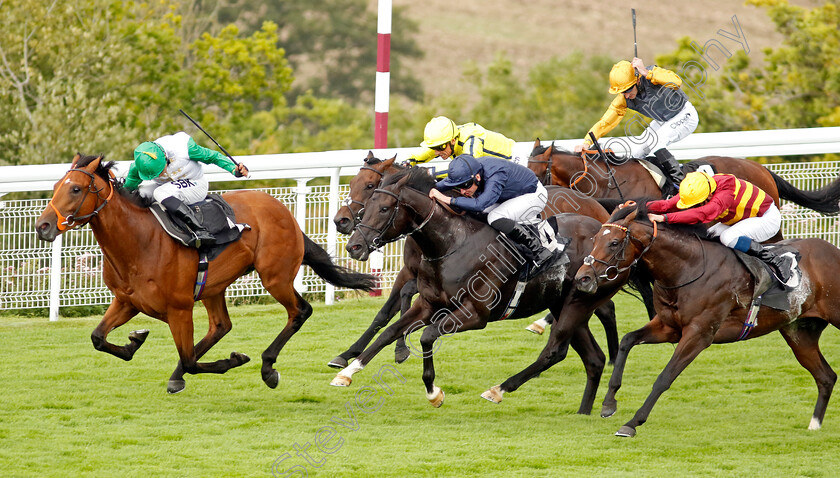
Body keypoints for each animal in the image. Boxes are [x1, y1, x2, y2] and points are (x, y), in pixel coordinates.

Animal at [33, 155, 374, 394]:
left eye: (76, 188)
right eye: (56, 187)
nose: (43, 226)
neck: (140, 241)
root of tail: (283, 211)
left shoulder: (179, 309)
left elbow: (189, 359)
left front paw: (232, 361)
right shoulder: (127, 301)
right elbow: (98, 338)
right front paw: (134, 340)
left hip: (275, 277)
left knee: (299, 311)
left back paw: (267, 367)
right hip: (214, 287)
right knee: (221, 326)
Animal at [332, 168, 640, 410]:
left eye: (384, 208)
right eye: (368, 205)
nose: (354, 246)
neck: (451, 244)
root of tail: (608, 230)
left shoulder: (475, 315)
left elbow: (427, 336)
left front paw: (433, 392)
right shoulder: (428, 305)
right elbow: (389, 332)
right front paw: (347, 371)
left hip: (579, 302)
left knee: (557, 349)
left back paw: (498, 389)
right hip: (561, 302)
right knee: (592, 358)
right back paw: (584, 410)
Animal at [576, 202, 840, 436]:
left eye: (613, 243)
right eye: (594, 239)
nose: (582, 278)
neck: (687, 269)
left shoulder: (699, 334)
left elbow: (664, 378)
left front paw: (632, 423)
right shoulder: (669, 327)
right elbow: (627, 340)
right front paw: (609, 403)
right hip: (799, 332)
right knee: (826, 377)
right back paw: (814, 425)